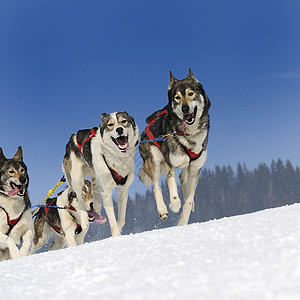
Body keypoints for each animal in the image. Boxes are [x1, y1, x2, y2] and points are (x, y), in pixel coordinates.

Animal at [139, 69, 211, 225]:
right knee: (156, 187)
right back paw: (163, 210)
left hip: (185, 164)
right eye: (177, 98)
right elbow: (173, 191)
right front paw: (174, 205)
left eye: (191, 93)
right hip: (154, 160)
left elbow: (188, 199)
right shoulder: (170, 163)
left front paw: (183, 220)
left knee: (182, 178)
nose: (185, 108)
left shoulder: (195, 169)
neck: (189, 134)